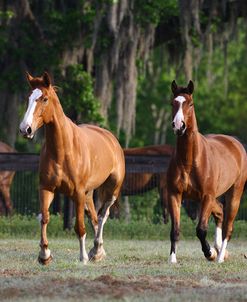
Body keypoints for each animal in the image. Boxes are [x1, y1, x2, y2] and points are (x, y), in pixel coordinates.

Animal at [18, 72, 125, 266]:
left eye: (44, 99)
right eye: (28, 98)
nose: (25, 129)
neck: (63, 150)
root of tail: (111, 139)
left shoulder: (77, 193)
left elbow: (79, 227)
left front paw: (82, 257)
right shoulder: (46, 188)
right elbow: (44, 218)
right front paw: (44, 254)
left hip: (112, 189)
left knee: (103, 215)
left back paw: (96, 249)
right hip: (89, 193)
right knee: (94, 217)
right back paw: (97, 252)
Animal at [166, 79, 247, 262]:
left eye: (190, 103)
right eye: (173, 103)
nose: (178, 125)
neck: (189, 161)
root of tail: (235, 143)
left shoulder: (207, 196)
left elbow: (201, 230)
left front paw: (210, 252)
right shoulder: (175, 195)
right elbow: (175, 229)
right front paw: (172, 259)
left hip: (234, 194)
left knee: (228, 226)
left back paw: (220, 256)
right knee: (220, 213)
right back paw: (218, 249)